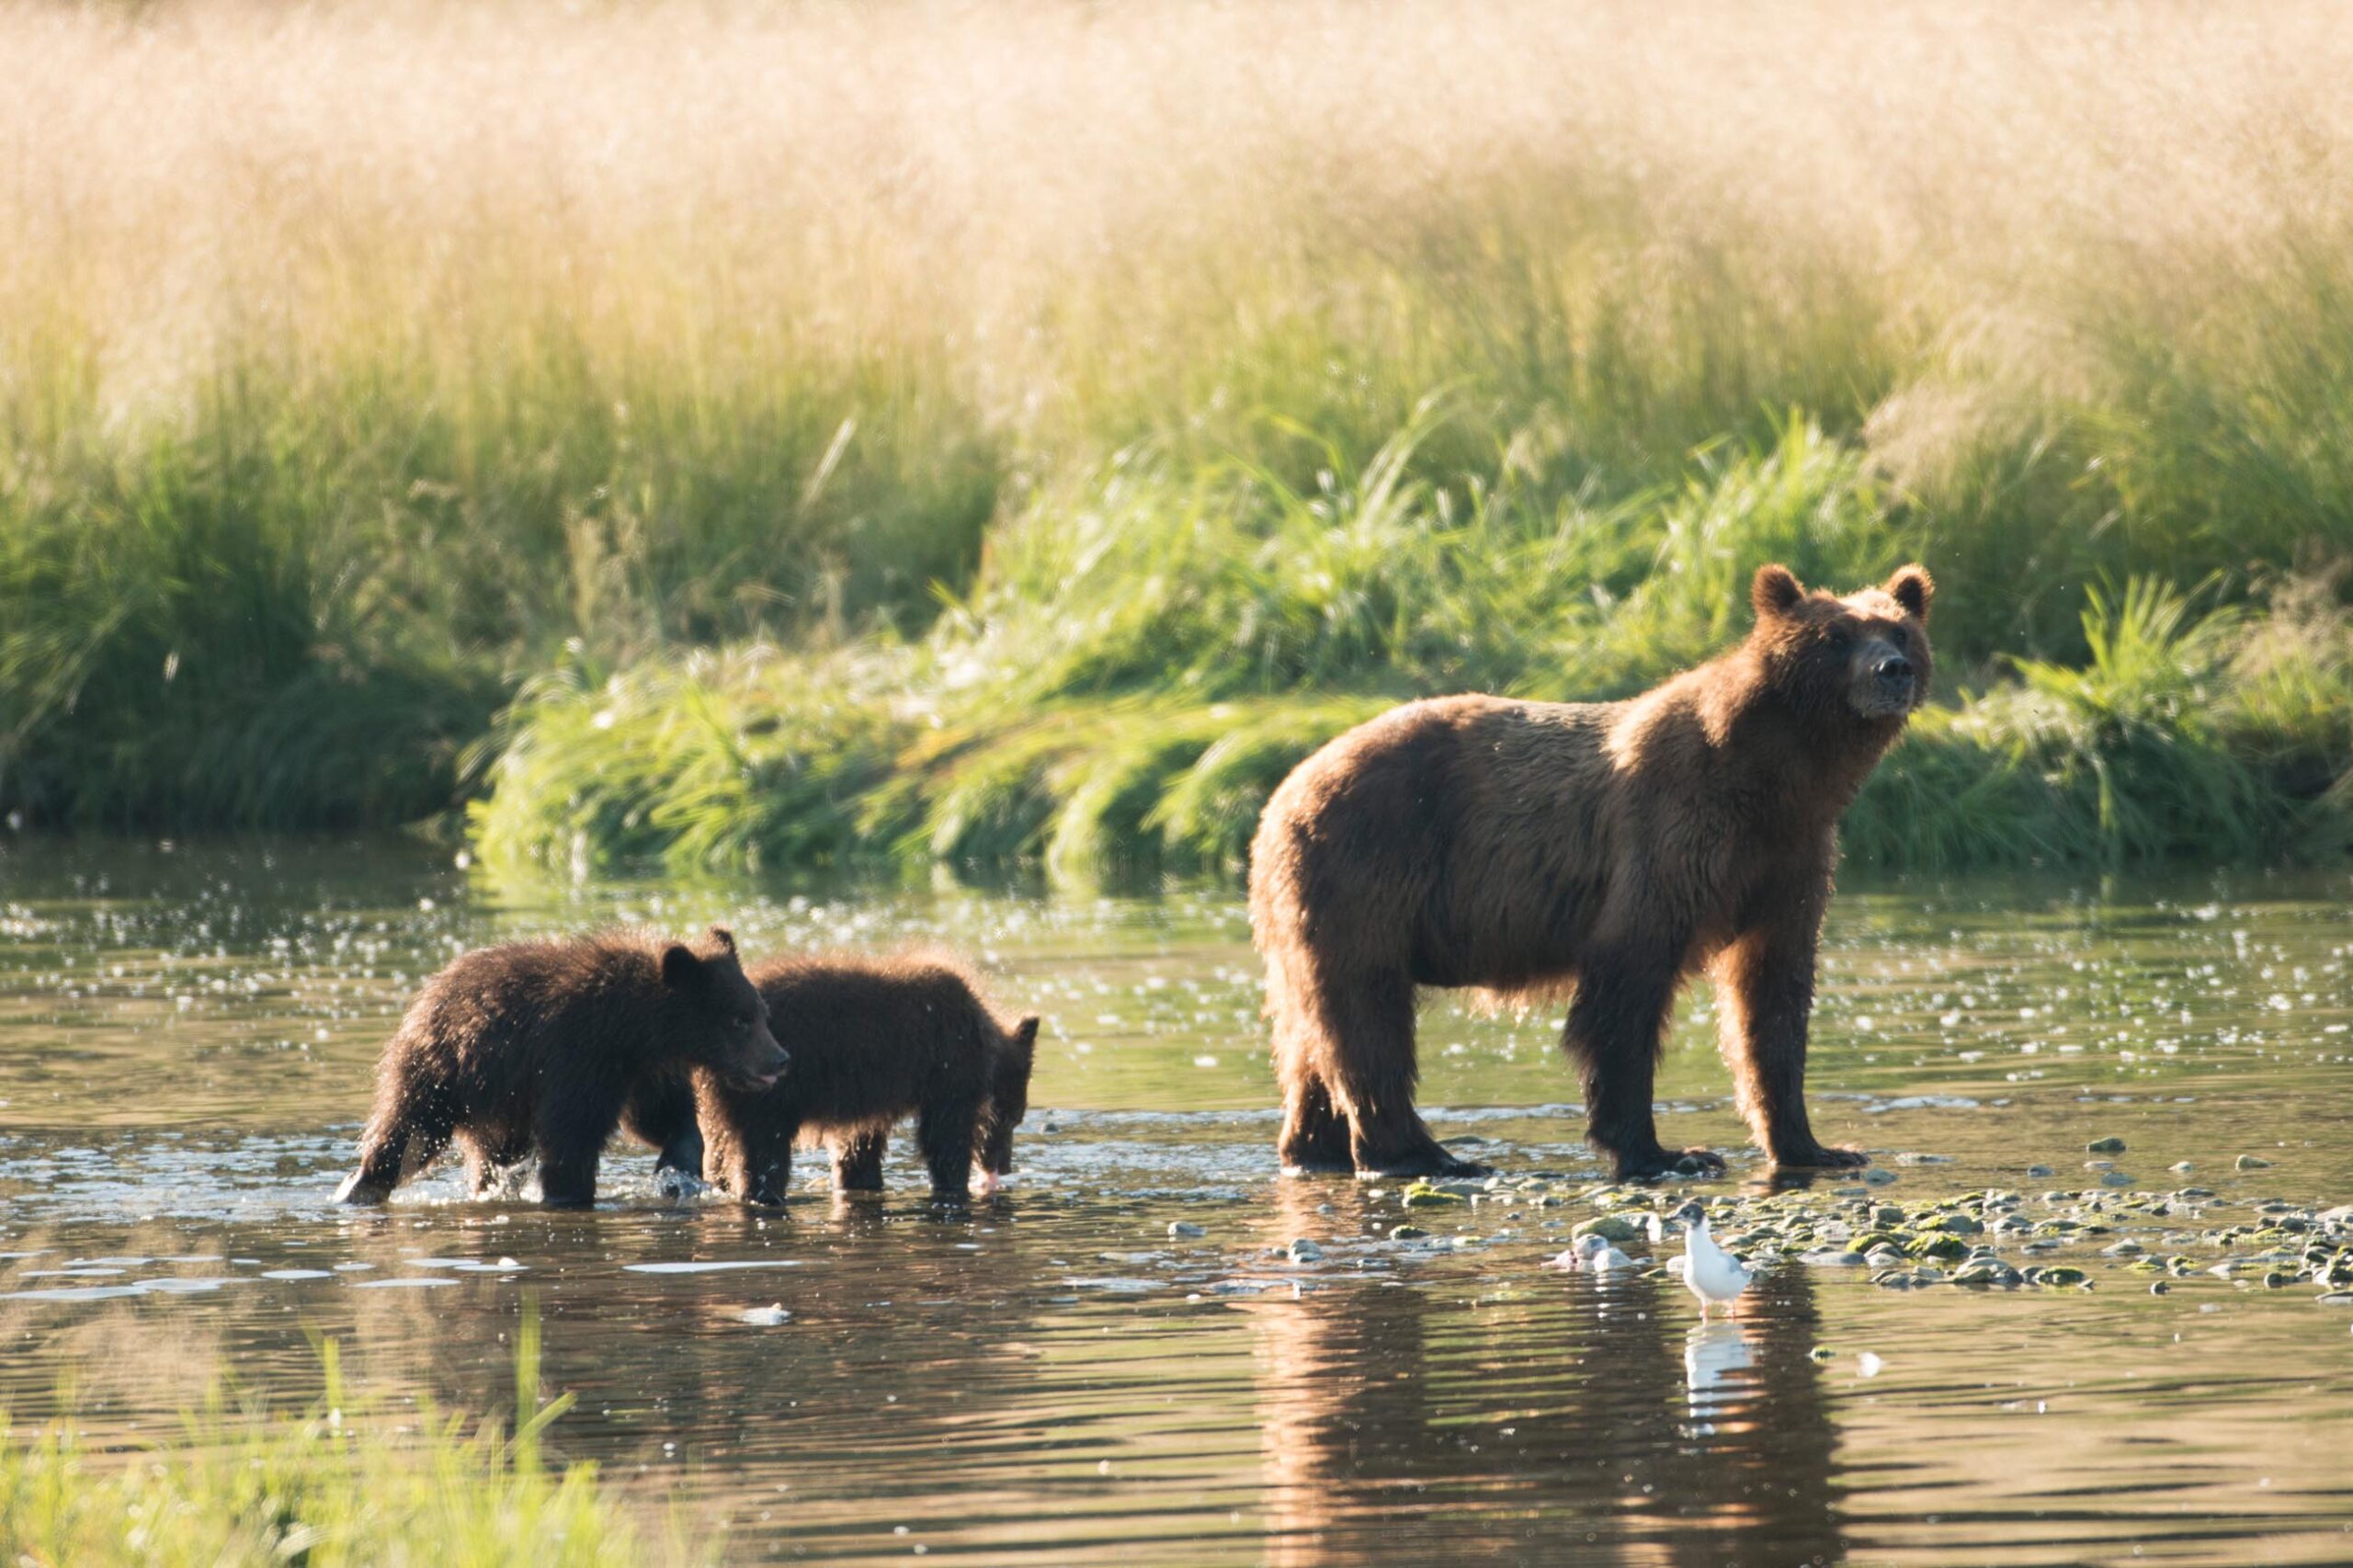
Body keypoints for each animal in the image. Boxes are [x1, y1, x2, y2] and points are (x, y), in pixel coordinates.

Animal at [336, 923, 786, 1200]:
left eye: (762, 1013)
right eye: (740, 1020)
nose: (780, 1059)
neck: (636, 1031)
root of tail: (432, 987)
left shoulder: (645, 1073)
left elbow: (663, 1118)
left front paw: (678, 1170)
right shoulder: (578, 1058)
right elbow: (571, 1135)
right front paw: (567, 1192)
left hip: (501, 1103)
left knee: (495, 1155)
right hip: (444, 1071)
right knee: (408, 1131)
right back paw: (360, 1186)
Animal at [625, 950, 1040, 1196]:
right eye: (1013, 1118)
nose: (1004, 1166)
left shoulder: (867, 1094)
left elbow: (856, 1146)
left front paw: (859, 1179)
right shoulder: (948, 1070)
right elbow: (946, 1138)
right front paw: (954, 1184)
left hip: (720, 1100)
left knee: (722, 1151)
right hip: (764, 1092)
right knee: (762, 1152)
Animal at [1251, 558, 1929, 1172]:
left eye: (1898, 631)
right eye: (1835, 636)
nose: (1892, 671)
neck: (1779, 776)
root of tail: (1281, 794)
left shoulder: (1788, 861)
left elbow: (1772, 999)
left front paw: (1816, 1145)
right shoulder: (1669, 837)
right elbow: (1627, 989)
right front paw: (1663, 1150)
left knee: (1312, 1036)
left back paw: (1316, 1147)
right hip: (1365, 871)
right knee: (1368, 1015)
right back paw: (1425, 1154)